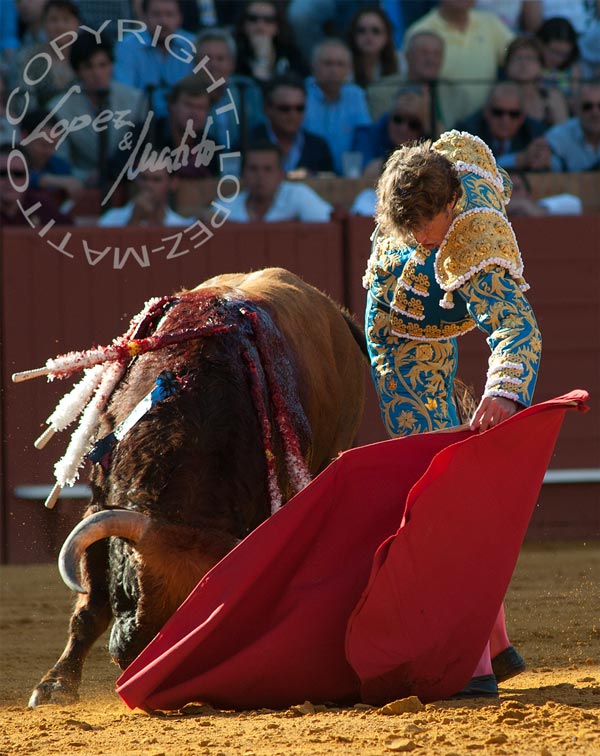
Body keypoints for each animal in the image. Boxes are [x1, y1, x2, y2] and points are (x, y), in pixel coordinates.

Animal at [28, 270, 368, 708]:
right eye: (128, 585)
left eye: (196, 606)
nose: (134, 661)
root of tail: (337, 314)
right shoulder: (100, 500)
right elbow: (91, 606)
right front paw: (54, 687)